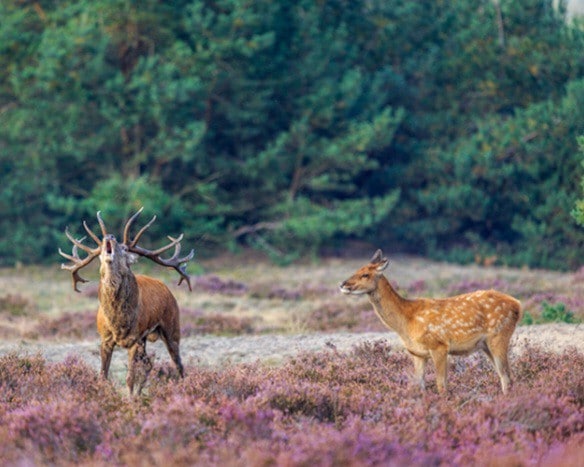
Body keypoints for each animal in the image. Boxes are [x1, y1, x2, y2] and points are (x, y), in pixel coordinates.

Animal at [59, 208, 193, 394]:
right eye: (101, 250)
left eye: (123, 249)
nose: (109, 236)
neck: (118, 322)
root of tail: (166, 289)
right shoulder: (105, 339)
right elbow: (103, 375)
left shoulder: (134, 339)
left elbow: (129, 378)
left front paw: (129, 400)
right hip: (146, 339)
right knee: (148, 364)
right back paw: (139, 394)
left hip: (172, 326)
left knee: (178, 364)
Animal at [340, 250, 524, 394]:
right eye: (357, 269)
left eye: (365, 274)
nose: (343, 284)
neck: (406, 321)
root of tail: (518, 305)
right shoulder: (417, 353)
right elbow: (420, 386)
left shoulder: (439, 345)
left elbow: (441, 385)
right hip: (485, 345)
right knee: (505, 376)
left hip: (499, 335)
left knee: (506, 376)